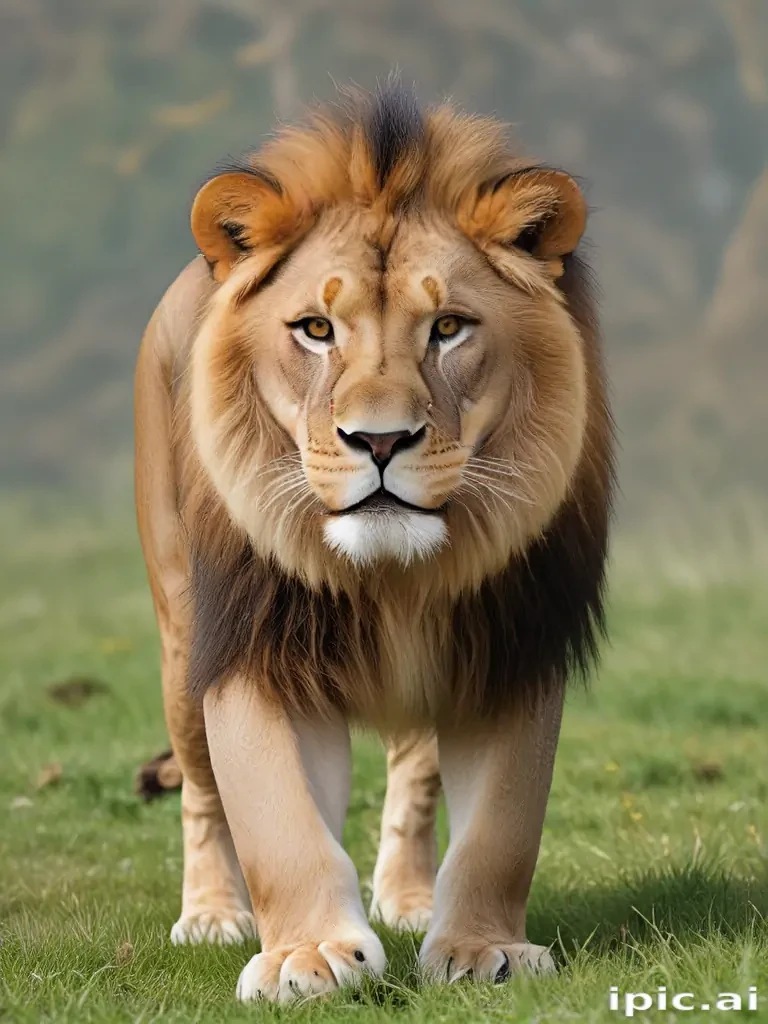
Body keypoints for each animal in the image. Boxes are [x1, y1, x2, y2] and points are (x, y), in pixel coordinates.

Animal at [134, 80, 613, 1003]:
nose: (381, 441)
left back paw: (411, 899)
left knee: (415, 769)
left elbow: (501, 828)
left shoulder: (514, 643)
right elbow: (279, 819)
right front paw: (309, 953)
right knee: (201, 791)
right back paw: (211, 914)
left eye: (450, 327)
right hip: (179, 640)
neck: (390, 578)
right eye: (316, 330)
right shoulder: (253, 642)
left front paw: (482, 948)